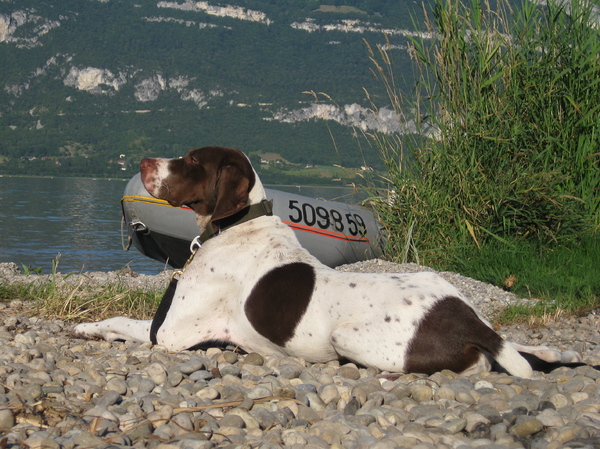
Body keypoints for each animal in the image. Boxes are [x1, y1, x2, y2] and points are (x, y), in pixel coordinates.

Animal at [72, 145, 588, 376]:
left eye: (193, 161)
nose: (142, 162)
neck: (236, 226)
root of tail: (464, 321)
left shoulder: (173, 334)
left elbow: (125, 322)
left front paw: (88, 328)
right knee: (516, 345)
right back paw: (553, 352)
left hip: (353, 339)